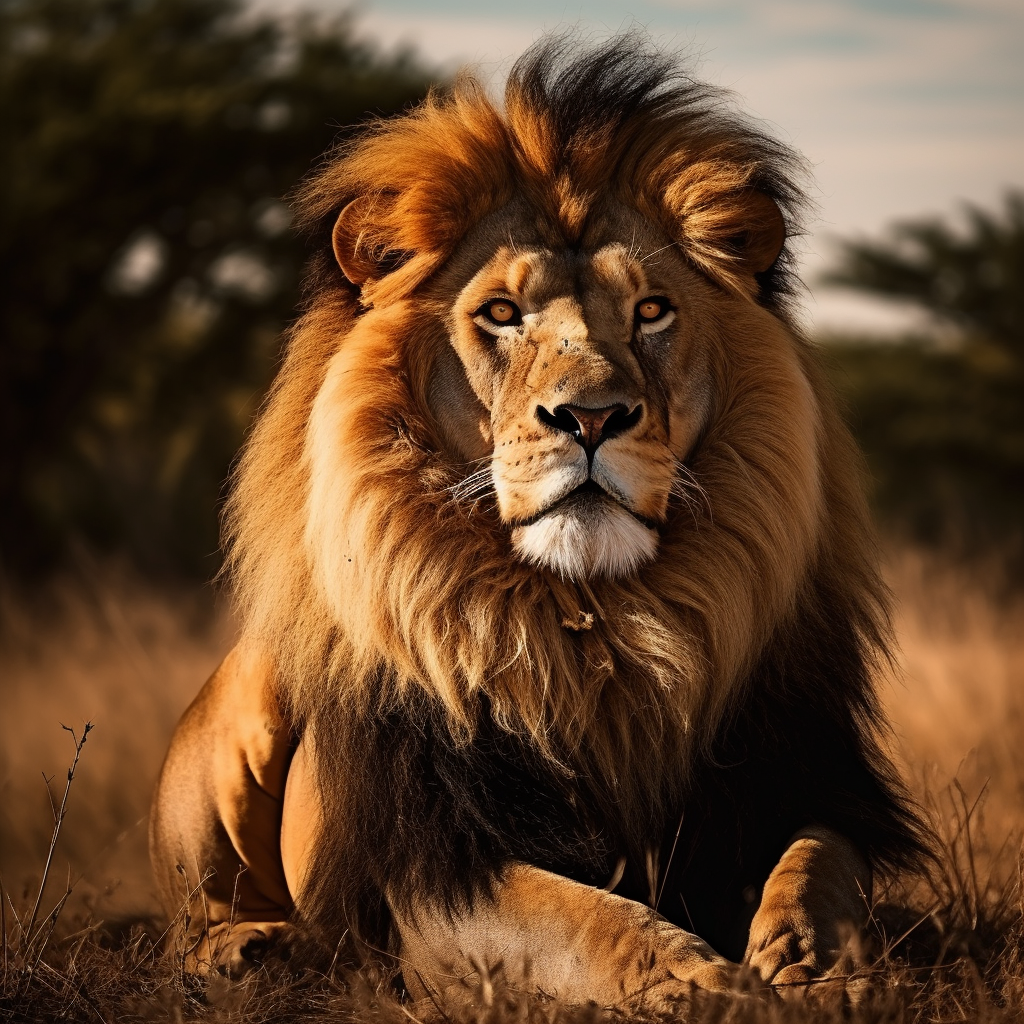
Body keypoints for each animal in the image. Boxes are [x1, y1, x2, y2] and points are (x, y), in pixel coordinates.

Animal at [150, 37, 930, 1013]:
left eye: (651, 310)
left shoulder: (801, 779)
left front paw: (813, 967)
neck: (598, 626)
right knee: (197, 913)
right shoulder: (442, 871)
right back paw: (252, 948)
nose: (592, 418)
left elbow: (817, 869)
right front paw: (700, 982)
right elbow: (584, 920)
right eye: (500, 314)